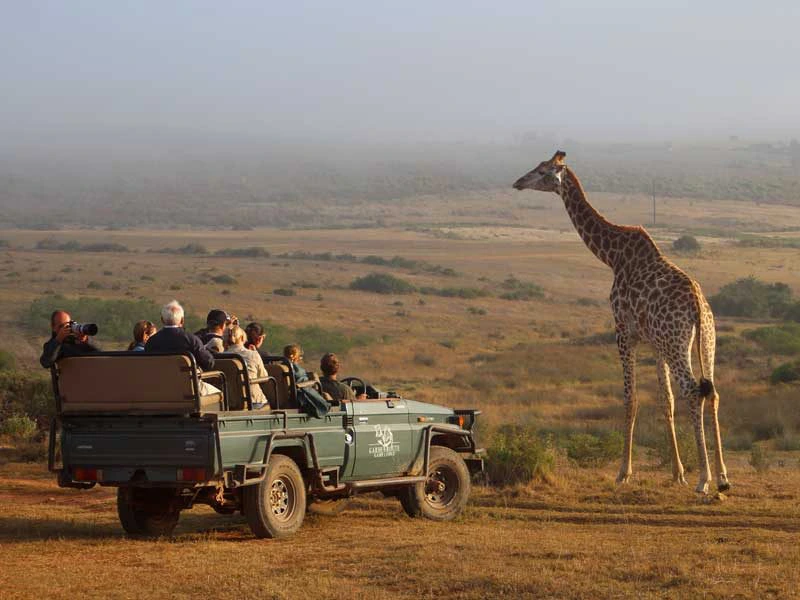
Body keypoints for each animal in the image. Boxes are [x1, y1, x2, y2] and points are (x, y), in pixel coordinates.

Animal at [513, 151, 730, 494]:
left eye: (543, 170)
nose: (518, 182)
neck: (612, 257)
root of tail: (698, 304)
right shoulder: (655, 343)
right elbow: (665, 400)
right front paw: (677, 472)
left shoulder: (623, 331)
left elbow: (631, 398)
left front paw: (624, 472)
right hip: (705, 340)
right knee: (713, 392)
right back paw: (722, 476)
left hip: (677, 344)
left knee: (694, 390)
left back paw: (704, 479)